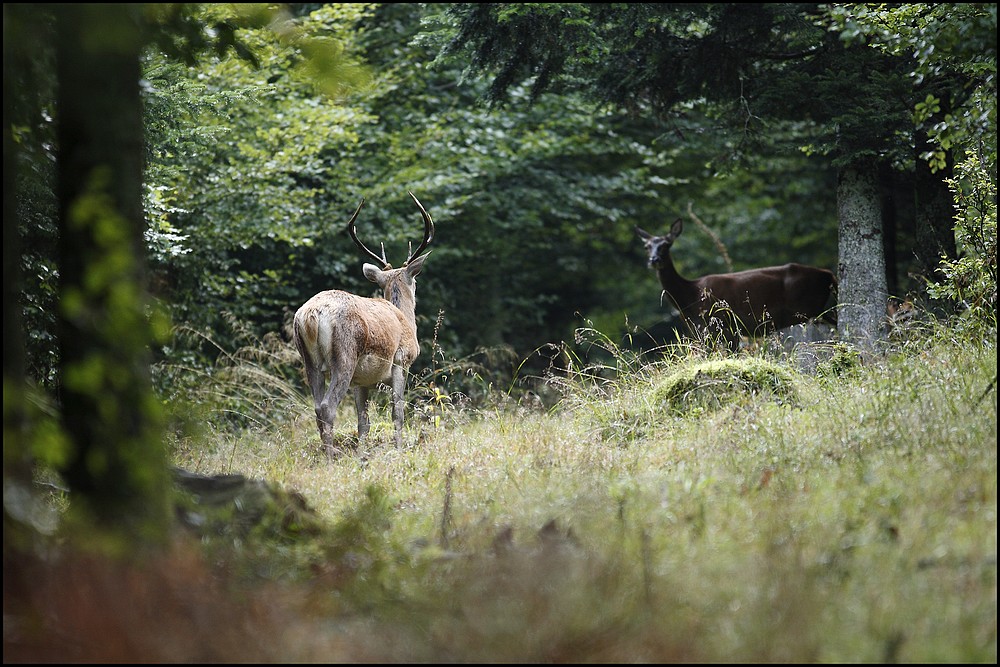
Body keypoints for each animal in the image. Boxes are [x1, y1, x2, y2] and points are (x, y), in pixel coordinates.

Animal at [292, 193, 434, 454]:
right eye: (415, 281)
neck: (404, 319)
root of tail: (312, 315)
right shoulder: (402, 361)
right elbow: (397, 414)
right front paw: (398, 451)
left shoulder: (362, 380)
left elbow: (363, 422)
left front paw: (363, 456)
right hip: (345, 355)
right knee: (327, 406)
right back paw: (331, 457)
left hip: (310, 360)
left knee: (316, 407)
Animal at [636, 220, 840, 354]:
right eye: (647, 246)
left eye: (666, 244)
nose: (654, 260)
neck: (689, 297)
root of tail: (829, 274)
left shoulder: (721, 324)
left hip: (809, 308)